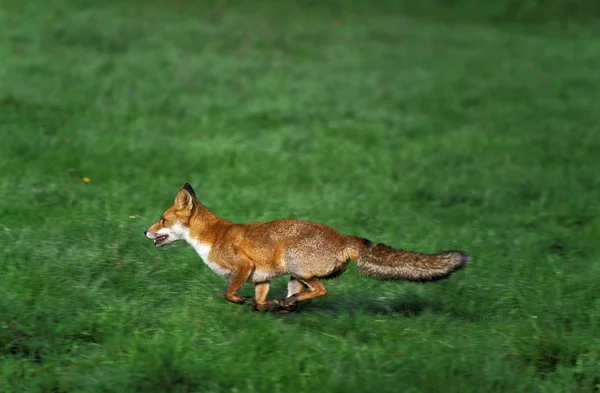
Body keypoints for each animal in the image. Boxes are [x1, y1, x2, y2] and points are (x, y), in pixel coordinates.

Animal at [144, 184, 468, 312]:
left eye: (162, 219)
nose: (144, 231)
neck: (213, 236)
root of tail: (344, 237)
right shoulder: (261, 278)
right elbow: (258, 300)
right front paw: (261, 308)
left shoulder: (244, 267)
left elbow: (229, 293)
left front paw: (243, 302)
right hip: (293, 277)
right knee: (303, 295)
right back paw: (284, 305)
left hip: (296, 266)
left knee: (321, 290)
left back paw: (287, 304)